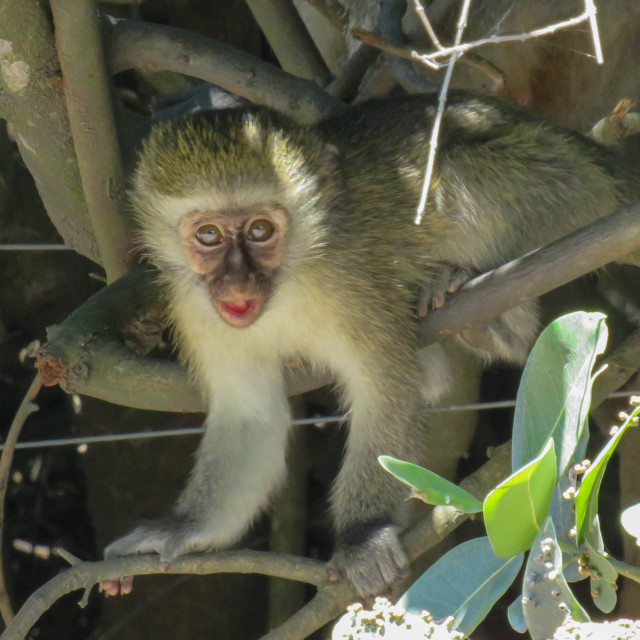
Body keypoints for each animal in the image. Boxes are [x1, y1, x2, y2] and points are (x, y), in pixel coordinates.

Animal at [102, 92, 640, 596]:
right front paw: (181, 528)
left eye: (259, 230)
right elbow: (252, 416)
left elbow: (386, 389)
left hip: (557, 187)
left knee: (458, 179)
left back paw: (495, 317)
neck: (289, 282)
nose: (236, 284)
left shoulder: (353, 289)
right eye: (209, 235)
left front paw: (362, 533)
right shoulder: (197, 309)